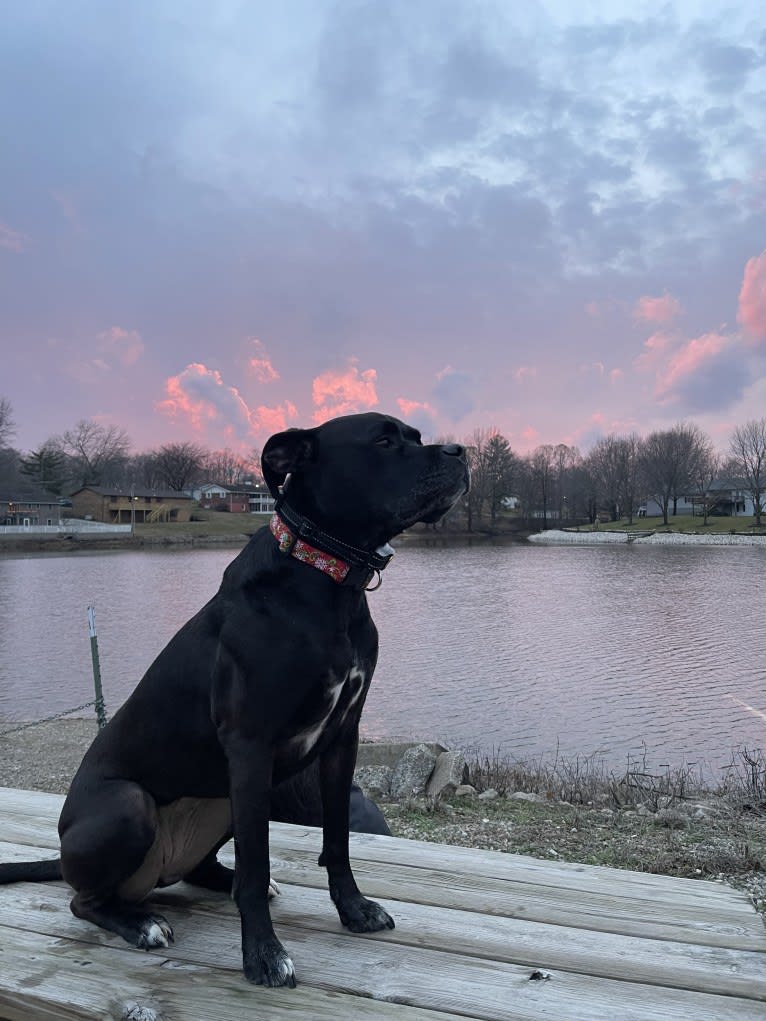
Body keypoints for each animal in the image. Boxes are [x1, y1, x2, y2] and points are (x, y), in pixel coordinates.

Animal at [0, 412, 467, 988]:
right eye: (382, 441)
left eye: (417, 438)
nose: (460, 452)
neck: (326, 578)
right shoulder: (251, 745)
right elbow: (259, 859)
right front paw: (263, 954)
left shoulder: (343, 738)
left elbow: (337, 839)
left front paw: (354, 909)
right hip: (133, 805)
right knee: (84, 900)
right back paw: (139, 923)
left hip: (228, 799)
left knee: (206, 871)